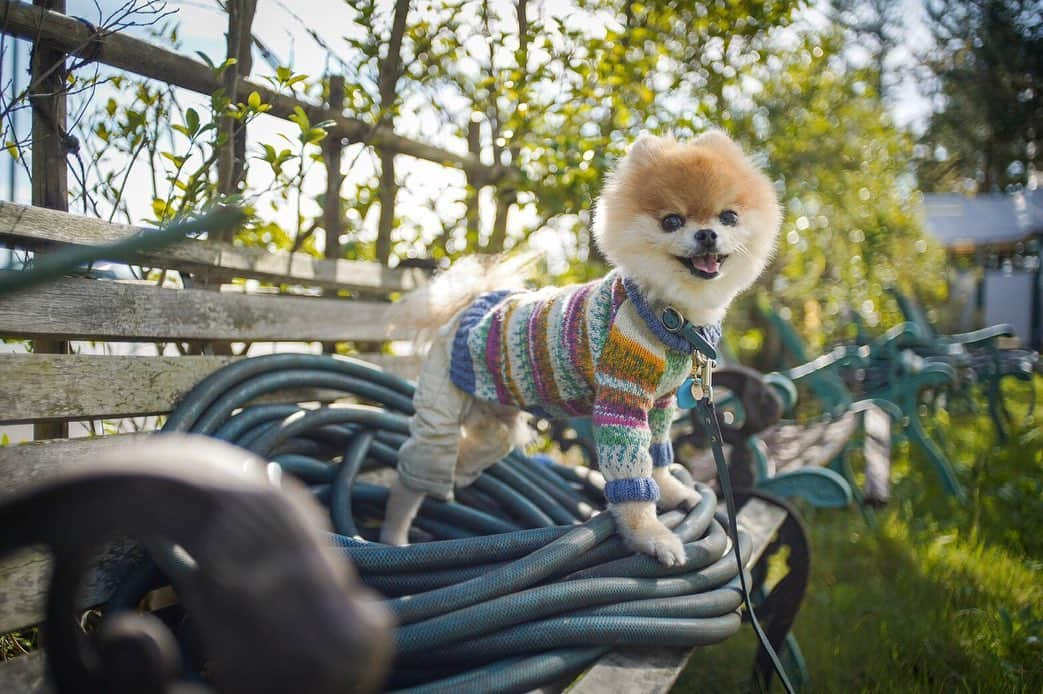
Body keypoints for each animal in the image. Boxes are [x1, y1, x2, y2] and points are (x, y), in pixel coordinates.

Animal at [379, 132, 780, 567]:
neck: (670, 316)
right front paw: (651, 536)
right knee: (413, 476)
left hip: (494, 423)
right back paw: (394, 536)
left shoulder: (660, 405)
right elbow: (632, 479)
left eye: (729, 217)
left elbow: (658, 458)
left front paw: (672, 492)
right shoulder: (622, 401)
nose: (706, 234)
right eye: (672, 221)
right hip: (442, 409)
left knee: (469, 455)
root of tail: (470, 305)